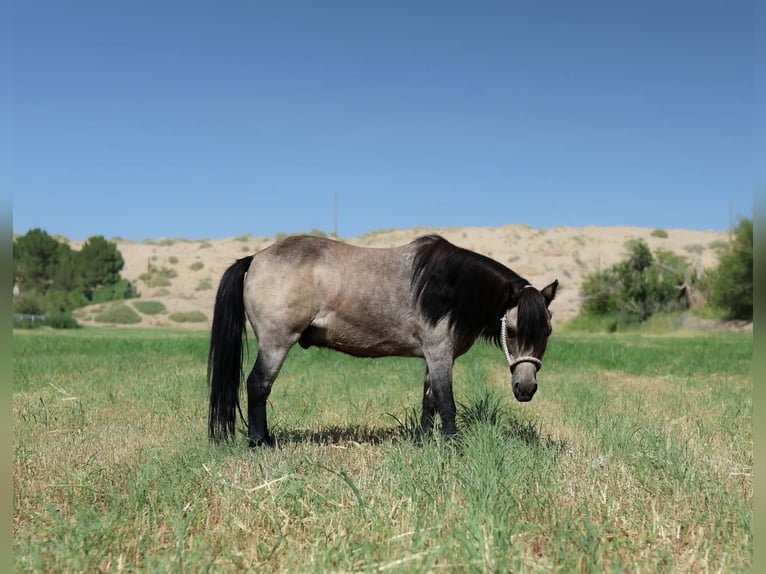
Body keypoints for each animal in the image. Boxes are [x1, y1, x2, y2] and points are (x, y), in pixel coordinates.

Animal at [208, 234, 558, 447]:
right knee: (258, 386)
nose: (525, 388)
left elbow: (429, 400)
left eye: (547, 332)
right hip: (276, 344)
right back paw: (259, 443)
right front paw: (452, 446)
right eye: (512, 330)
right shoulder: (440, 354)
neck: (451, 288)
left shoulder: (431, 357)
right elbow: (447, 403)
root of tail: (255, 258)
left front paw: (423, 441)